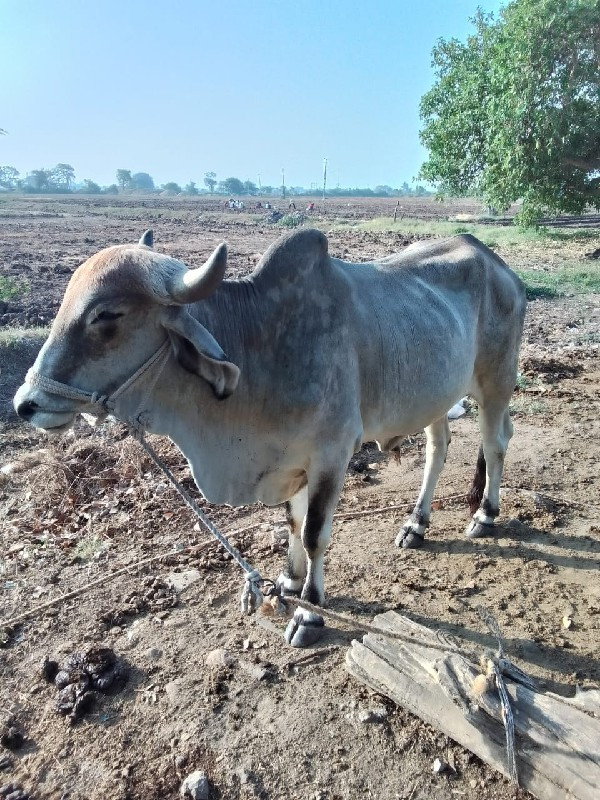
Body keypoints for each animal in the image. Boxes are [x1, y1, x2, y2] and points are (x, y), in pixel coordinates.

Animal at [14, 228, 528, 648]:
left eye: (107, 315)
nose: (25, 403)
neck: (264, 343)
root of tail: (498, 264)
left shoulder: (331, 455)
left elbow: (316, 533)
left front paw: (309, 611)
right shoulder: (292, 461)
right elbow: (293, 525)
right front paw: (288, 582)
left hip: (495, 383)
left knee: (497, 441)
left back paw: (485, 514)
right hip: (434, 397)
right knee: (438, 447)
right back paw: (415, 524)